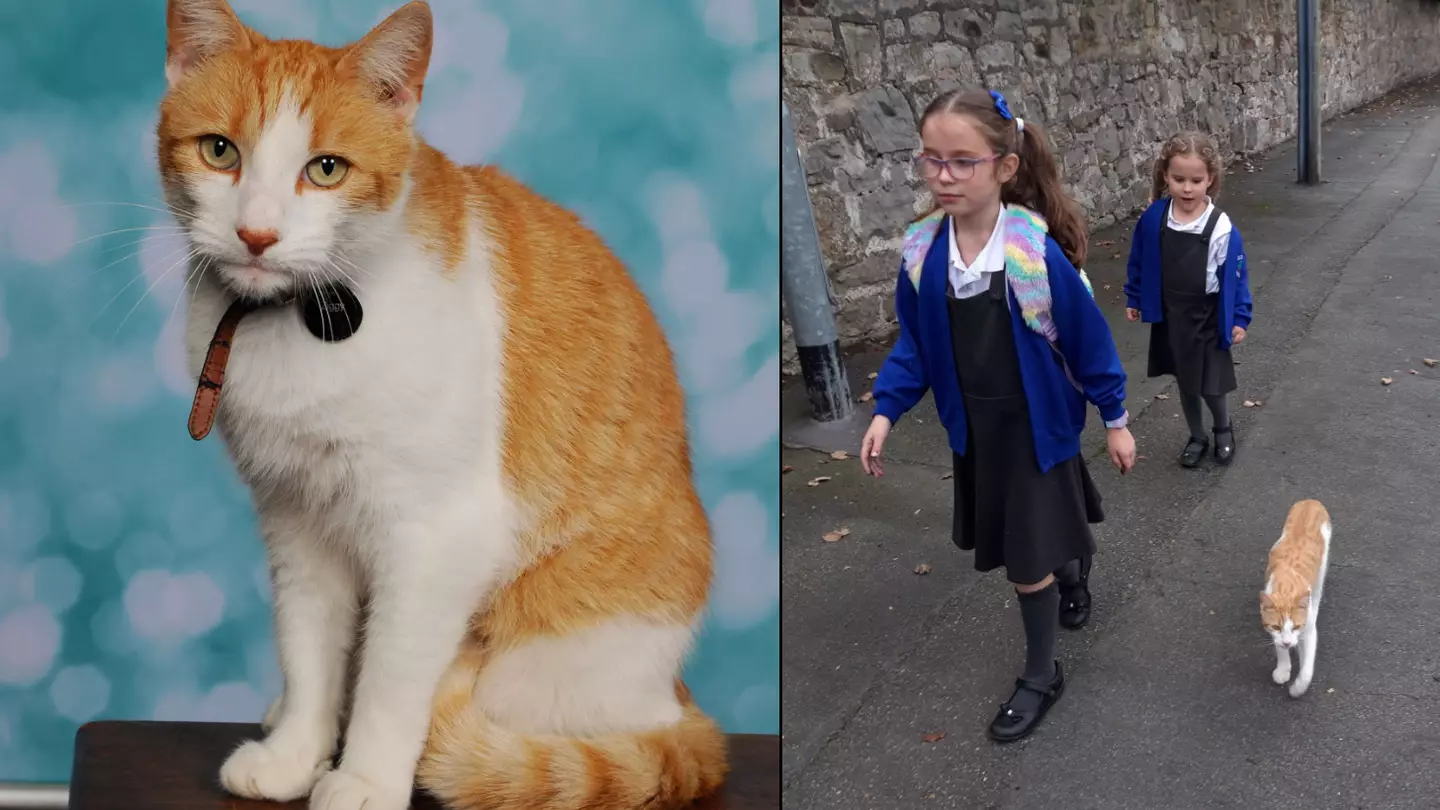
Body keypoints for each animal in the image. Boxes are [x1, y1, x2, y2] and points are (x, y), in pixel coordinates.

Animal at [159, 1, 731, 807]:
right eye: (220, 152)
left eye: (325, 169)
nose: (257, 234)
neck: (296, 322)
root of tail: (677, 696)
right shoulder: (296, 522)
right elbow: (308, 652)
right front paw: (296, 754)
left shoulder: (436, 536)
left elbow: (393, 679)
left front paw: (364, 777)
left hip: (543, 655)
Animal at [1267, 495, 1330, 697]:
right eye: (1276, 627)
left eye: (1296, 626)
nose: (1288, 643)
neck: (1286, 589)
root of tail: (1310, 500)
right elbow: (1278, 645)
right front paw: (1283, 669)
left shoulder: (1308, 630)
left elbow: (1307, 670)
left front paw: (1297, 688)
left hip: (1322, 564)